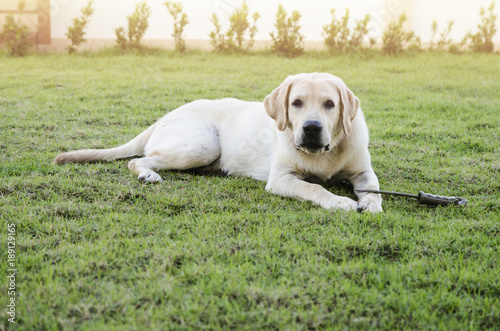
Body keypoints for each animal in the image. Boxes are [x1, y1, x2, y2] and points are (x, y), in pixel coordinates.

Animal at [54, 73, 382, 214]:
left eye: (329, 104)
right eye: (296, 103)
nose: (311, 129)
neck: (325, 154)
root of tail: (164, 117)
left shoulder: (362, 171)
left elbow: (373, 187)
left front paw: (370, 203)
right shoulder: (281, 178)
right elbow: (313, 188)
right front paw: (338, 201)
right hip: (202, 145)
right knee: (139, 159)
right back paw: (147, 174)